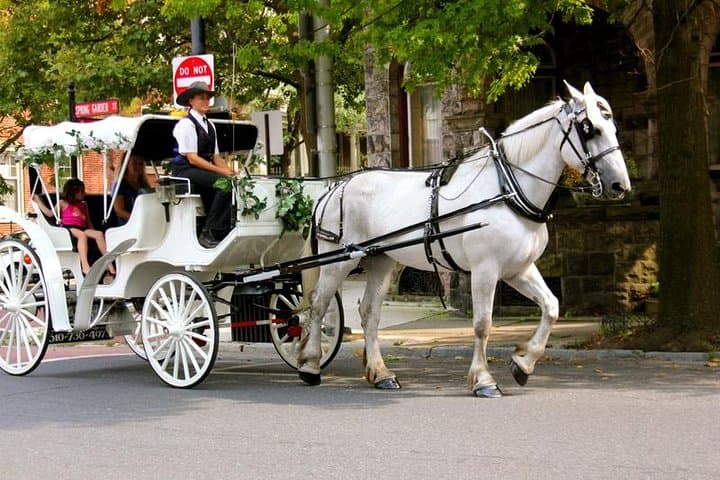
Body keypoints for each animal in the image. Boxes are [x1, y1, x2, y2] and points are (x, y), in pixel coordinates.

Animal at [296, 81, 631, 397]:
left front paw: (523, 363)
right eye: (590, 129)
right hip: (337, 260)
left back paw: (381, 373)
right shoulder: (485, 269)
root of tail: (336, 187)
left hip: (381, 260)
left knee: (369, 313)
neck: (508, 190)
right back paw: (310, 364)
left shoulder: (519, 269)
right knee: (319, 302)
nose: (620, 185)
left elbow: (551, 307)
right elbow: (483, 325)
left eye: (612, 128)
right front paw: (484, 380)